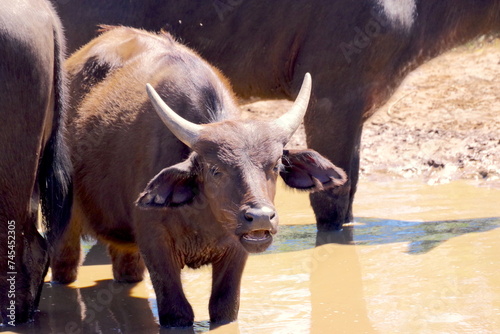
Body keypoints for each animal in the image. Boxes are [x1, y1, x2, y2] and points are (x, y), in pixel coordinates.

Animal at [51, 26, 348, 328]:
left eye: (276, 166)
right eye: (216, 169)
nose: (261, 217)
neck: (201, 216)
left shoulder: (236, 250)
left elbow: (225, 308)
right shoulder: (156, 246)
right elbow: (178, 312)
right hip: (64, 223)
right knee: (64, 266)